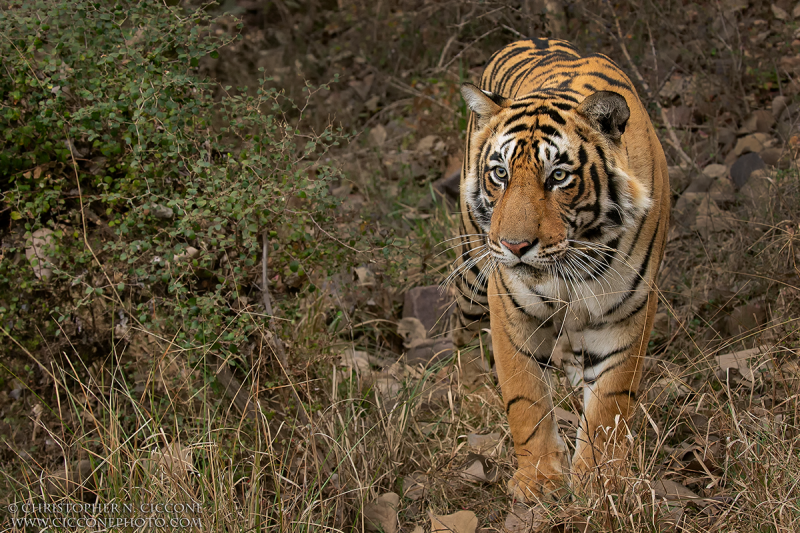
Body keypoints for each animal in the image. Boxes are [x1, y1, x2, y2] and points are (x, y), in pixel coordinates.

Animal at [450, 39, 668, 500]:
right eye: (500, 173)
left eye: (559, 176)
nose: (514, 246)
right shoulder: (509, 305)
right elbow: (525, 398)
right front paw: (539, 479)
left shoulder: (629, 309)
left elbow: (610, 402)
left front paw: (599, 481)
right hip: (473, 273)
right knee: (463, 330)